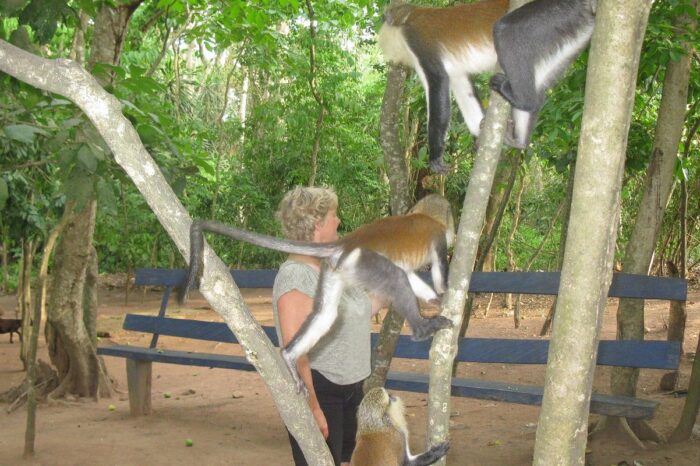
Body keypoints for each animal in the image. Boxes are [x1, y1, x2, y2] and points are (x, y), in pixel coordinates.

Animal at [179, 194, 455, 393]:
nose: (453, 230)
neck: (423, 215)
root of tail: (348, 243)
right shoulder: (438, 238)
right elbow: (437, 276)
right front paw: (442, 295)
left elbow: (411, 276)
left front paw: (434, 299)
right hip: (364, 261)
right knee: (396, 279)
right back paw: (421, 329)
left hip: (336, 267)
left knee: (326, 314)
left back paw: (289, 355)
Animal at [377, 0, 509, 173]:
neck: (408, 18)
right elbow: (462, 87)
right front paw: (479, 135)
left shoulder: (415, 38)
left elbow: (438, 79)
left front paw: (435, 155)